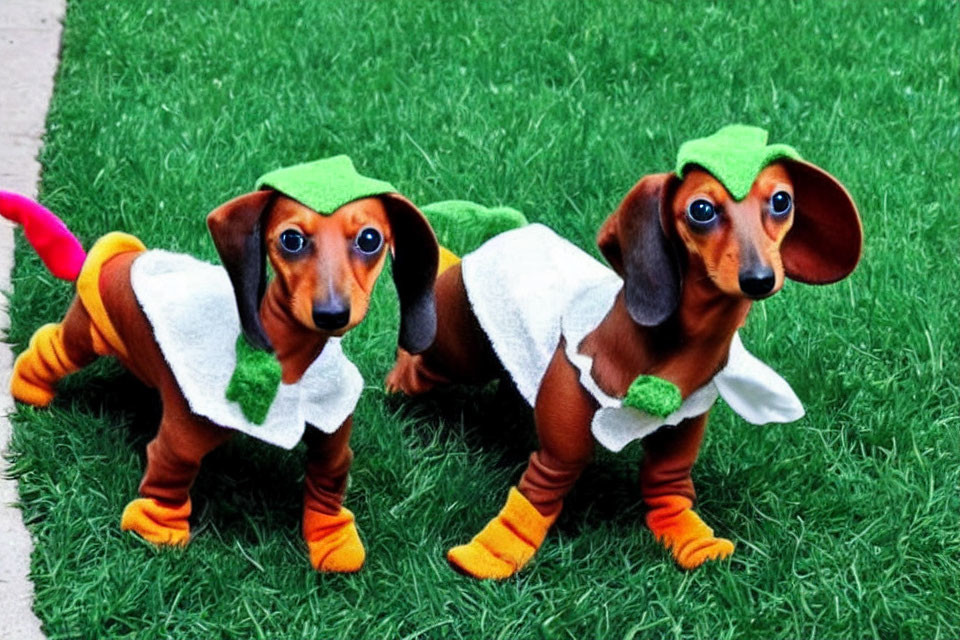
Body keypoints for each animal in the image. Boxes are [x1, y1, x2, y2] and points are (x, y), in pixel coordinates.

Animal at [3, 158, 436, 572]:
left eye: (370, 239)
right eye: (291, 239)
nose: (331, 314)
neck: (286, 365)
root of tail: (122, 255)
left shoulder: (332, 434)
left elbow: (328, 487)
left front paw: (333, 541)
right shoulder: (180, 442)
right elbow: (167, 484)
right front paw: (160, 534)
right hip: (83, 336)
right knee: (50, 345)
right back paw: (31, 387)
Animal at [386, 126, 868, 580]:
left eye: (782, 200)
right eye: (701, 210)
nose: (759, 278)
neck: (663, 362)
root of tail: (516, 230)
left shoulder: (677, 446)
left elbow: (669, 497)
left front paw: (696, 543)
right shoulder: (559, 456)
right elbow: (537, 497)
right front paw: (491, 556)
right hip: (456, 344)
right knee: (421, 361)